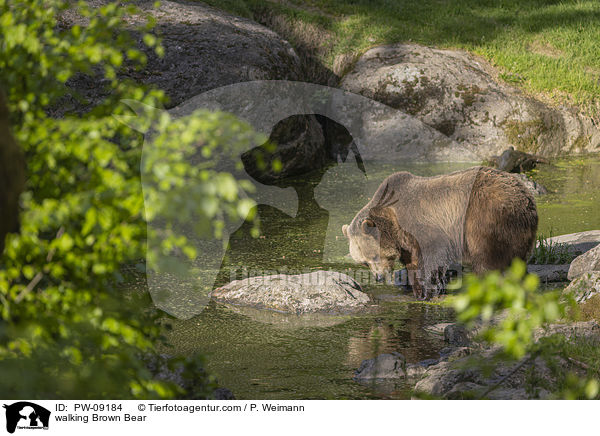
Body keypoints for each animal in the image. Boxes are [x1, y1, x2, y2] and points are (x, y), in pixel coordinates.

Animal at [342, 166, 540, 300]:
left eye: (374, 256)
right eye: (364, 262)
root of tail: (526, 196)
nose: (378, 277)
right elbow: (413, 264)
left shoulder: (424, 227)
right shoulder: (406, 243)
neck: (392, 222)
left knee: (487, 258)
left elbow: (432, 258)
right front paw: (417, 290)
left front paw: (429, 291)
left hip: (486, 217)